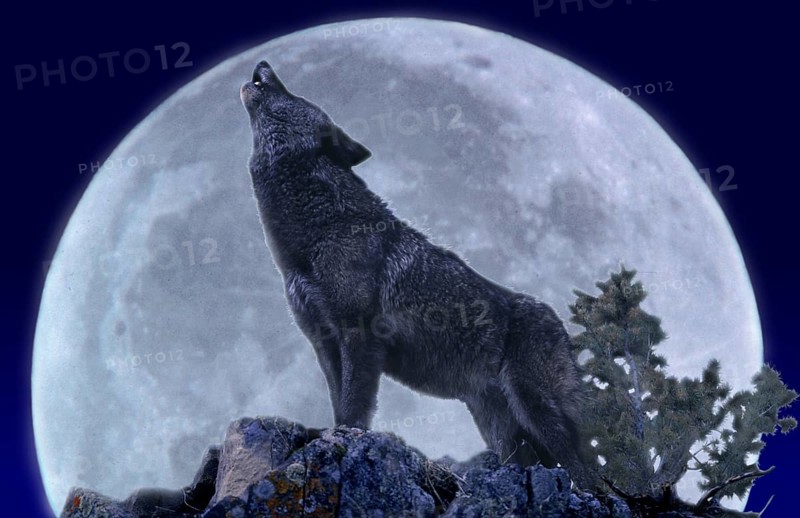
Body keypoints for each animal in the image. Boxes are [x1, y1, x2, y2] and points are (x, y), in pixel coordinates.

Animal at [240, 60, 594, 487]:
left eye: (293, 93)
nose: (263, 64)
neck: (315, 234)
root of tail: (562, 325)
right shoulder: (322, 341)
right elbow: (337, 398)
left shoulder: (359, 336)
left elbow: (354, 405)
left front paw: (345, 438)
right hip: (499, 426)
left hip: (534, 408)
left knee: (584, 470)